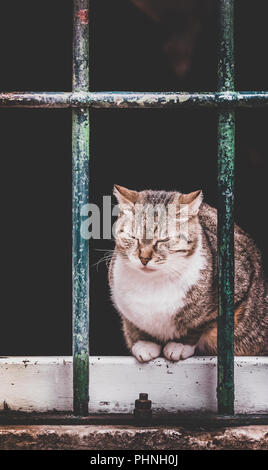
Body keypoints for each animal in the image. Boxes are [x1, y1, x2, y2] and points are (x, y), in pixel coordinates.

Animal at [109, 185, 268, 362]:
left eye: (164, 239)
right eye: (133, 237)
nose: (144, 258)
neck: (152, 282)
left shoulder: (236, 292)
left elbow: (199, 325)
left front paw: (180, 345)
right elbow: (133, 324)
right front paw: (144, 343)